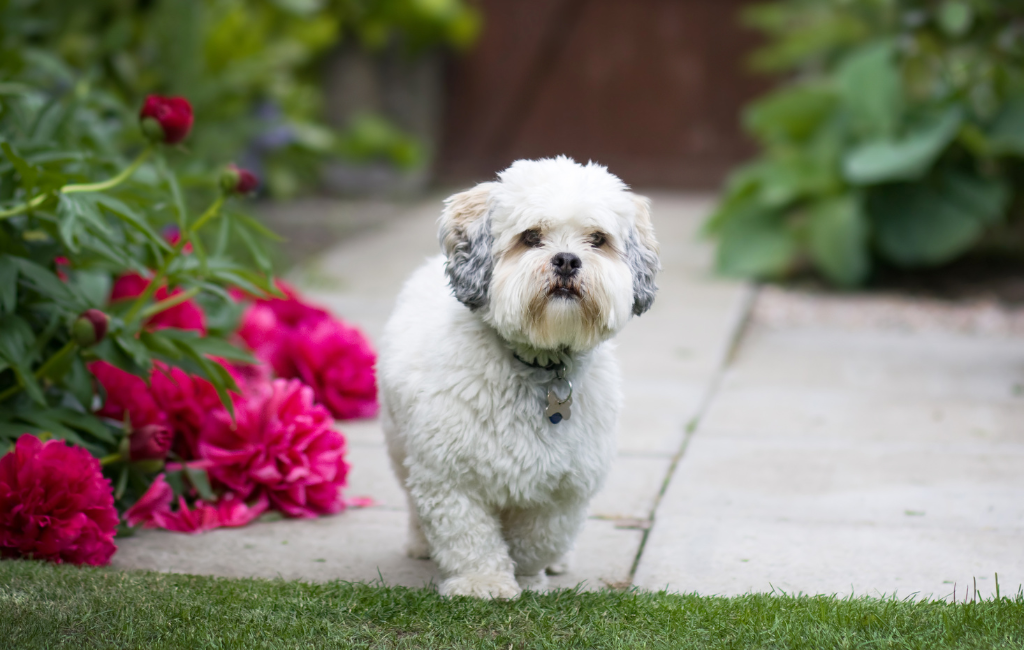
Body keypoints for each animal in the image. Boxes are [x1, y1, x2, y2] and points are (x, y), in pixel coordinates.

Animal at [380, 155, 659, 597]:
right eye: (531, 237)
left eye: (597, 239)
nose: (567, 259)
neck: (539, 364)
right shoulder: (448, 476)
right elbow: (469, 536)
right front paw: (483, 581)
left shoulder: (566, 487)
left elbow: (536, 538)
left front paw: (528, 575)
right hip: (397, 444)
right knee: (410, 498)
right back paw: (420, 544)